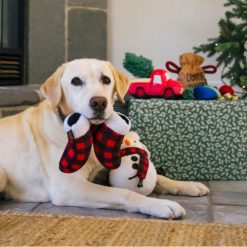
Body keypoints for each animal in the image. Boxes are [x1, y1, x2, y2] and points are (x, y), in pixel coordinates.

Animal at [0, 58, 208, 219]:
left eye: (106, 79)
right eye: (76, 81)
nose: (99, 102)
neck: (89, 134)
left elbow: (160, 177)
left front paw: (187, 185)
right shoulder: (69, 187)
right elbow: (124, 192)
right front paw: (161, 204)